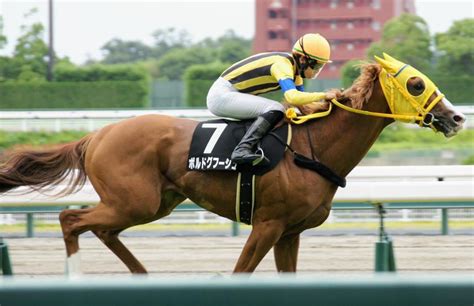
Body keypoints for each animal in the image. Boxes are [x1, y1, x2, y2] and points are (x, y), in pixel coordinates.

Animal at [0, 53, 466, 274]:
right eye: (416, 83)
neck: (314, 147)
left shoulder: (289, 233)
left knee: (99, 229)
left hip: (152, 203)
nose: (457, 117)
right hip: (133, 201)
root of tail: (96, 135)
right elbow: (241, 271)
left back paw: (143, 275)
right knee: (70, 219)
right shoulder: (267, 225)